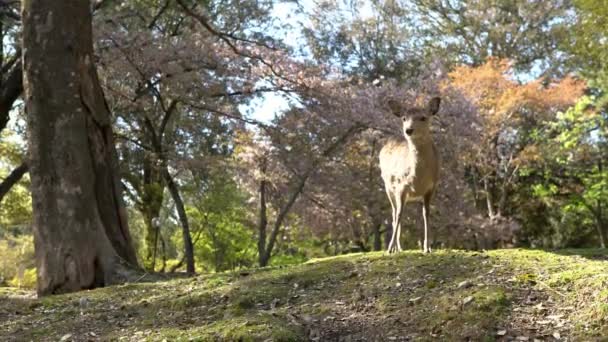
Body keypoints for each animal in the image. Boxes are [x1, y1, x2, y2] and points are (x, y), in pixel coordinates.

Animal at [378, 96, 440, 254]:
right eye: (404, 118)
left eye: (423, 117)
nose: (408, 130)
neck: (418, 179)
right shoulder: (401, 186)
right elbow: (399, 214)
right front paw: (389, 249)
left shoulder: (431, 188)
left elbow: (426, 214)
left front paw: (427, 248)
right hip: (388, 186)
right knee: (394, 214)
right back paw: (395, 248)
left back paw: (399, 247)